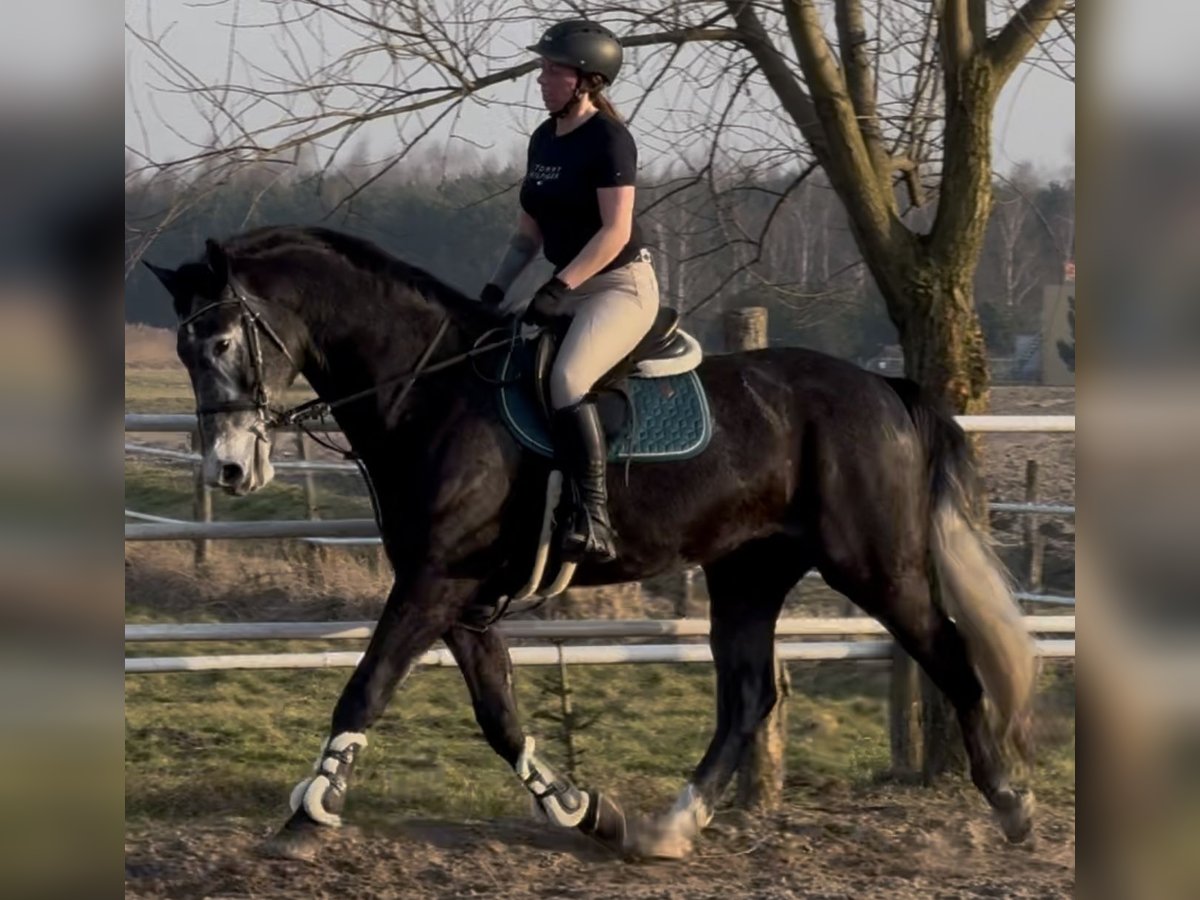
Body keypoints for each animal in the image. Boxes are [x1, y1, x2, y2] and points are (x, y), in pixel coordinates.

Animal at [145, 225, 1036, 868]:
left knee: (951, 656)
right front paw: (581, 810)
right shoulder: (457, 598)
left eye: (221, 341)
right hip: (747, 573)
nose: (230, 468)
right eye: (183, 350)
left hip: (876, 567)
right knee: (749, 696)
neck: (429, 388)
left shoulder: (434, 583)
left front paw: (309, 813)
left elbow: (365, 687)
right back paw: (665, 830)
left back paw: (1011, 803)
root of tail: (883, 386)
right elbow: (499, 715)